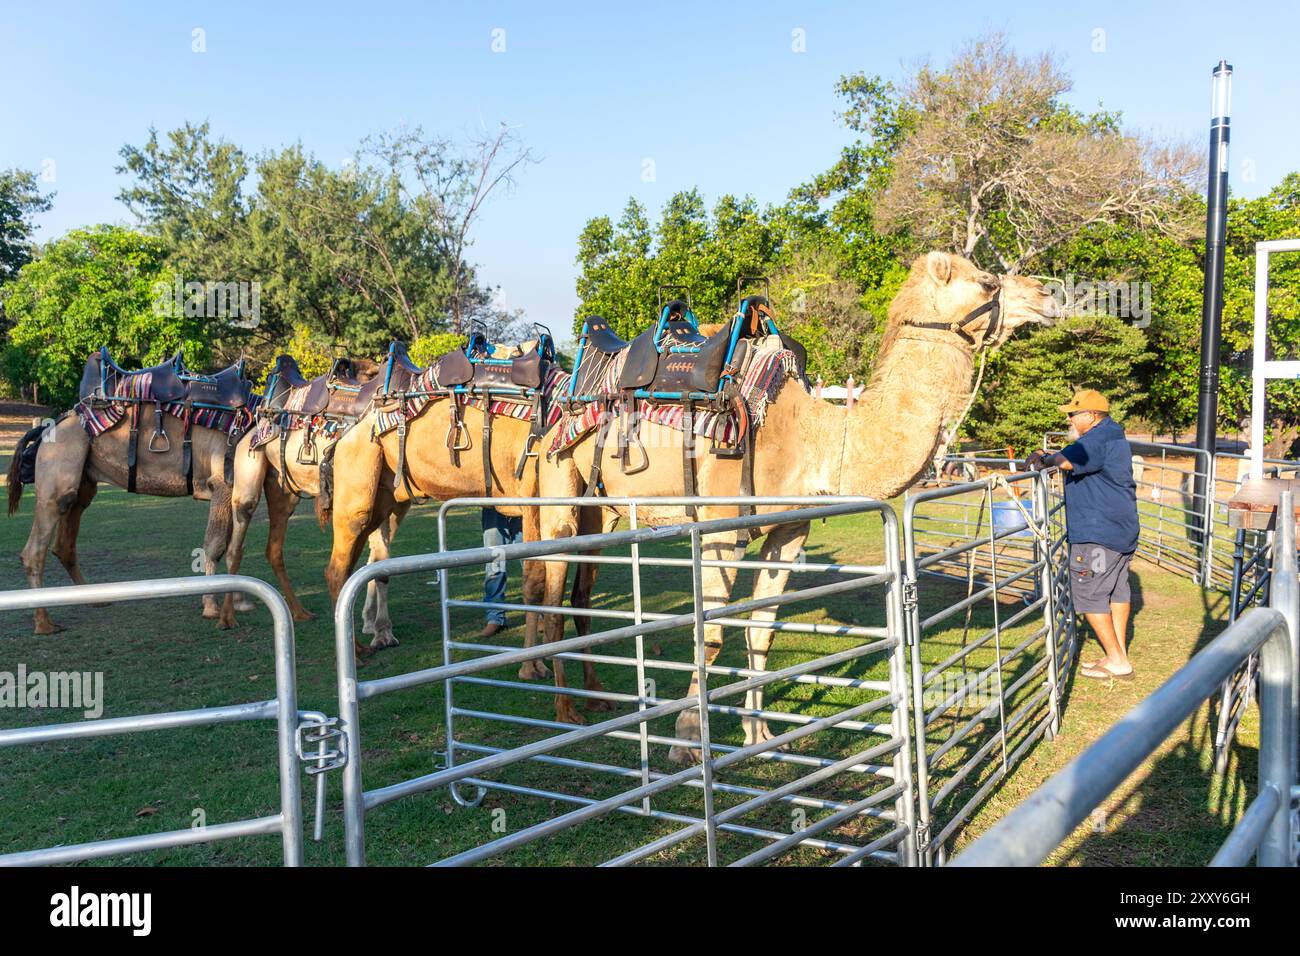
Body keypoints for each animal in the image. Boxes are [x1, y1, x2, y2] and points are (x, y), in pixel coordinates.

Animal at [7, 409, 251, 634]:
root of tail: (47, 429)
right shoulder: (221, 481)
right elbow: (216, 546)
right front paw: (213, 608)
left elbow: (235, 546)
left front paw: (239, 602)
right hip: (56, 477)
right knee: (34, 550)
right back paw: (44, 624)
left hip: (83, 484)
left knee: (64, 545)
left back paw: (96, 600)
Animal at [221, 359, 411, 647]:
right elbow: (376, 560)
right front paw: (377, 631)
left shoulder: (394, 506)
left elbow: (380, 562)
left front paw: (378, 629)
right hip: (248, 473)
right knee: (236, 543)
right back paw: (227, 618)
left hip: (283, 490)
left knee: (273, 548)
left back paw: (300, 612)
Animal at [535, 252, 1061, 763]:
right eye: (988, 282)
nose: (1048, 294)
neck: (813, 436)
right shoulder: (719, 528)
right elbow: (711, 634)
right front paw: (686, 742)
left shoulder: (790, 530)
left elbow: (760, 631)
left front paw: (760, 735)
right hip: (558, 483)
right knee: (552, 584)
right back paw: (564, 711)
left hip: (604, 509)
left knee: (580, 593)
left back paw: (595, 696)